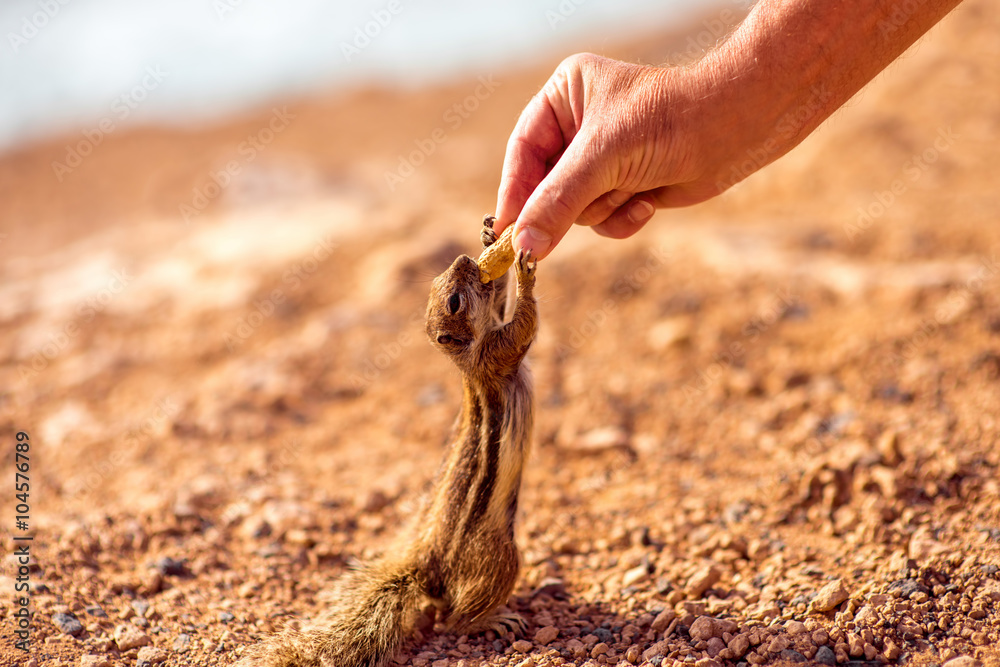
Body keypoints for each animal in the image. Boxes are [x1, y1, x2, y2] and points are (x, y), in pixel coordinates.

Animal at [242, 219, 540, 667]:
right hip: (500, 556)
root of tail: (424, 569)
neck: (467, 357)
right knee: (454, 620)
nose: (463, 258)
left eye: (438, 281)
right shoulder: (498, 354)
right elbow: (523, 323)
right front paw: (524, 272)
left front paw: (491, 238)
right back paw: (490, 620)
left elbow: (503, 302)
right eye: (453, 300)